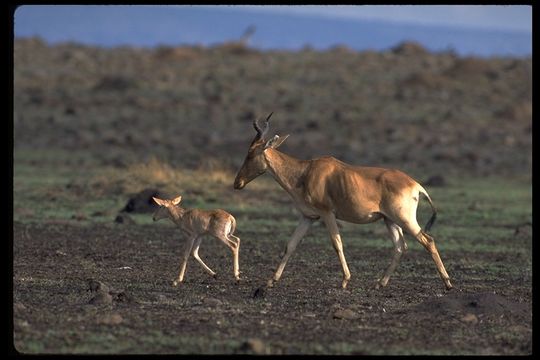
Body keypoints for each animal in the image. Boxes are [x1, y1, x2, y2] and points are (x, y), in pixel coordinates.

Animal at [232, 114, 452, 292]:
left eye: (250, 153)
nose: (237, 183)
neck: (306, 172)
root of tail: (415, 185)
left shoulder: (327, 213)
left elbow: (337, 243)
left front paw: (345, 281)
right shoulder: (308, 217)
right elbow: (291, 245)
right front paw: (271, 280)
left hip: (404, 219)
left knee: (428, 240)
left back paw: (448, 283)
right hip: (389, 220)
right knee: (400, 247)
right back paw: (380, 283)